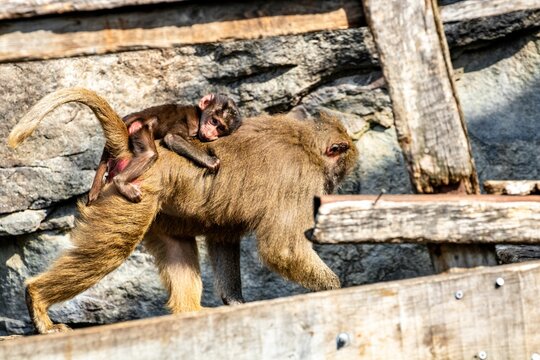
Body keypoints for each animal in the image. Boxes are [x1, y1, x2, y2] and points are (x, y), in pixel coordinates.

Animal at [88, 93, 243, 205]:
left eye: (221, 129)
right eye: (214, 121)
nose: (211, 133)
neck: (199, 115)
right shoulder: (186, 119)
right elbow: (172, 138)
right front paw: (211, 161)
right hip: (138, 126)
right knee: (149, 153)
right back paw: (120, 181)